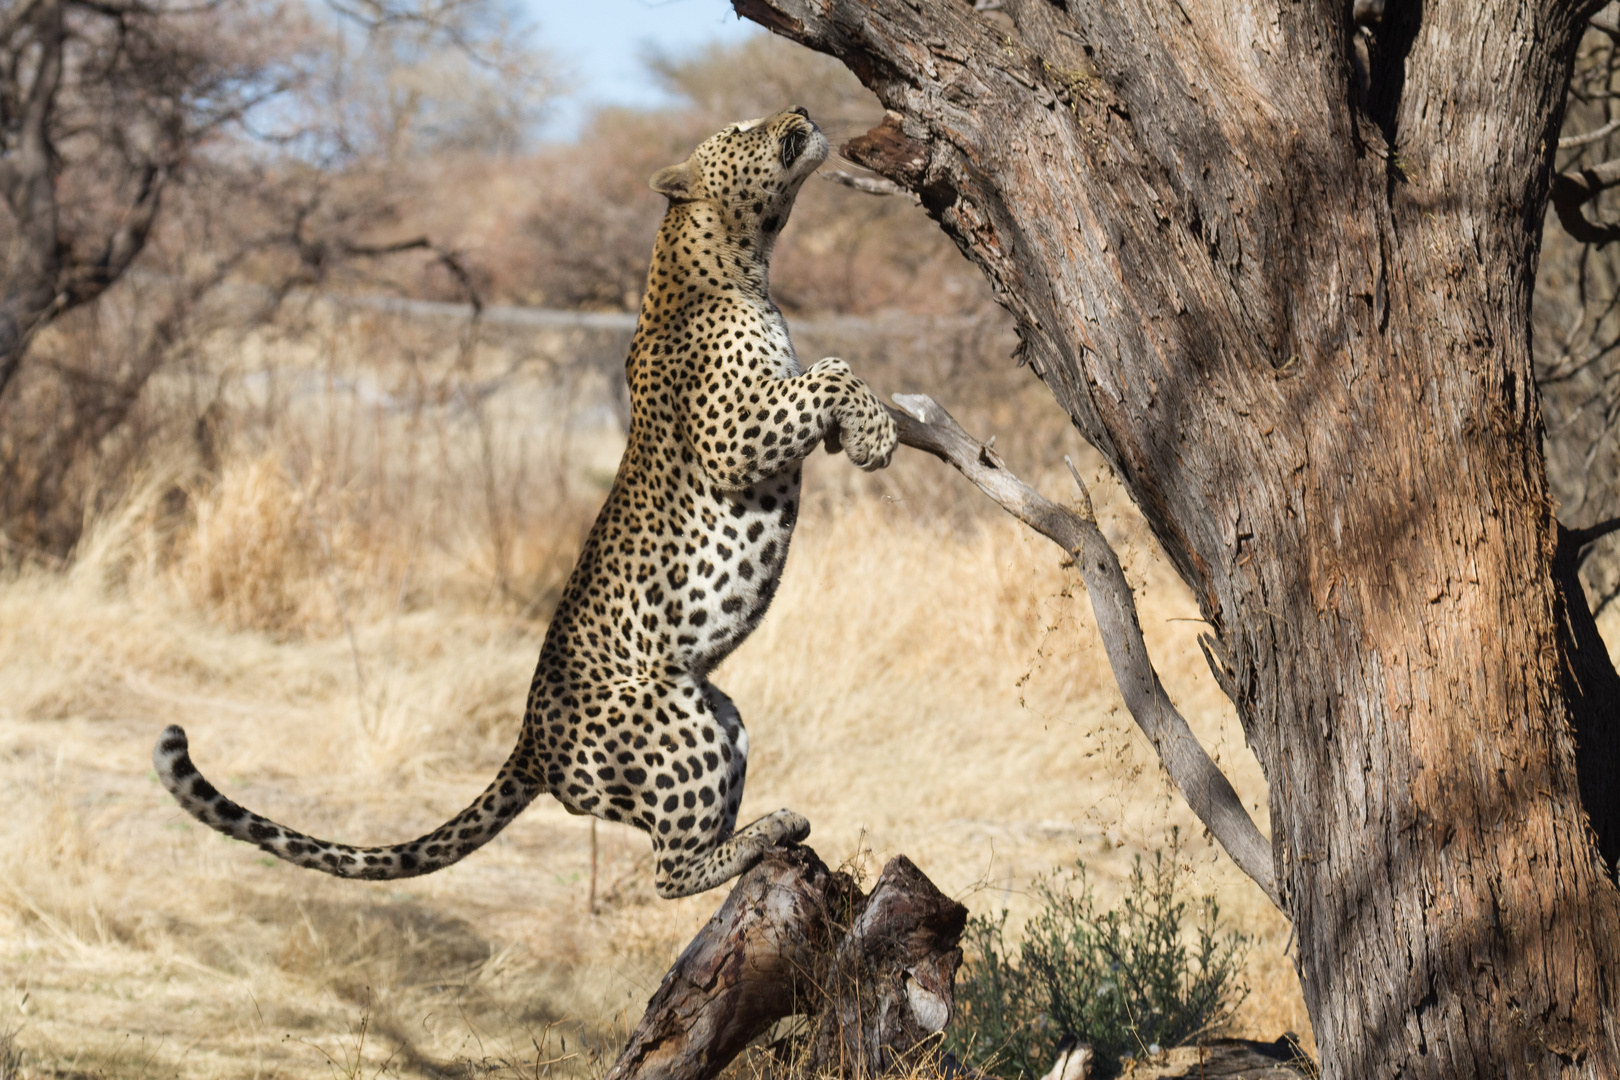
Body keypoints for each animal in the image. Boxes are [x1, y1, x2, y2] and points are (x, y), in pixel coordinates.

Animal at [153, 107, 907, 906]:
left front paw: (864, 432)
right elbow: (831, 370)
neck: (744, 260)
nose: (803, 112)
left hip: (718, 710)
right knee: (669, 875)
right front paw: (877, 435)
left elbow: (828, 373)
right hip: (675, 722)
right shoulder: (735, 430)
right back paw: (771, 829)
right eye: (740, 127)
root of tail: (531, 745)